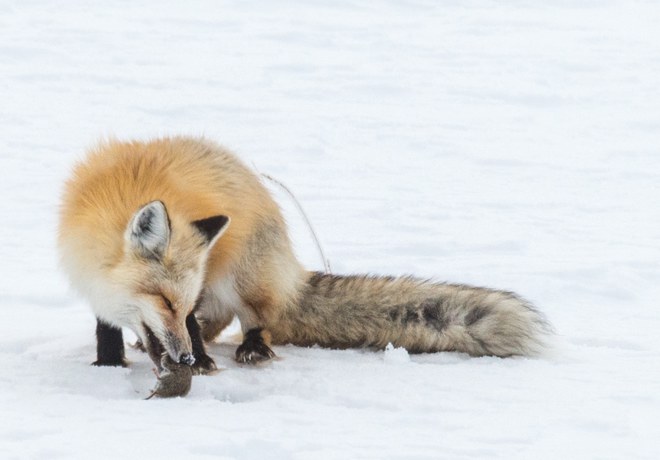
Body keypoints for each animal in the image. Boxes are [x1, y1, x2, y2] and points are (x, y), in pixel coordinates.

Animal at [58, 136, 550, 380]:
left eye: (182, 304)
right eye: (164, 302)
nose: (182, 362)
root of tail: (291, 272)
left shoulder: (200, 290)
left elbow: (197, 327)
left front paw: (200, 359)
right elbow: (107, 328)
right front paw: (108, 363)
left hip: (242, 274)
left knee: (257, 319)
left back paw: (251, 348)